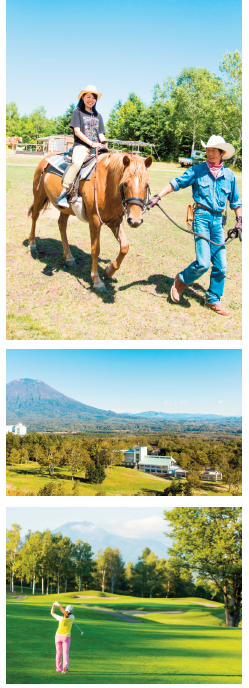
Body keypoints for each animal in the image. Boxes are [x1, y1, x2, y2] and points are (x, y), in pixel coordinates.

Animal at [27, 152, 152, 288]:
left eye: (146, 185)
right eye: (125, 183)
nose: (135, 220)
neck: (106, 185)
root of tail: (46, 157)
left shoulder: (115, 221)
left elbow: (125, 246)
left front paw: (109, 271)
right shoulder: (95, 221)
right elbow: (95, 250)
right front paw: (97, 281)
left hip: (66, 209)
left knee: (62, 224)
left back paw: (69, 257)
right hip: (39, 195)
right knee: (34, 216)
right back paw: (32, 244)